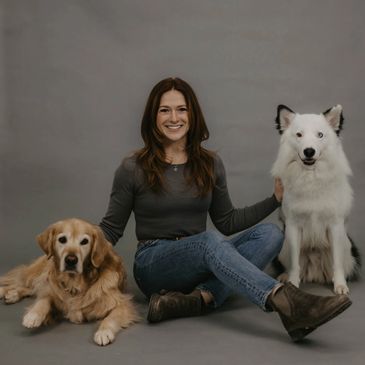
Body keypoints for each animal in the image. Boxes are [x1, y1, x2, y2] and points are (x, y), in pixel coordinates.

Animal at [270, 104, 358, 294]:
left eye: (320, 135)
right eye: (299, 135)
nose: (309, 151)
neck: (311, 177)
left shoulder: (335, 225)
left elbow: (337, 263)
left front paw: (340, 285)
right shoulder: (293, 226)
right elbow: (294, 263)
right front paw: (292, 283)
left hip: (348, 247)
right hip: (283, 247)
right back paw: (284, 276)